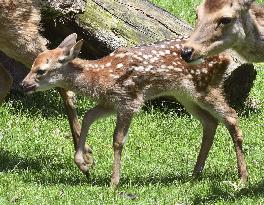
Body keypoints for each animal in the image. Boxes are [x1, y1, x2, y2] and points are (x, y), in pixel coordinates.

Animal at [21, 32, 249, 187]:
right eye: (32, 65)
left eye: (41, 70)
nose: (24, 84)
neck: (100, 77)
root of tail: (226, 58)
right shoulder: (109, 103)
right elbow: (87, 117)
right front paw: (84, 163)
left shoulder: (129, 100)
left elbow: (118, 140)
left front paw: (114, 182)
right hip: (185, 94)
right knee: (210, 122)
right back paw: (195, 173)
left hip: (205, 88)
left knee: (231, 116)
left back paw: (242, 177)